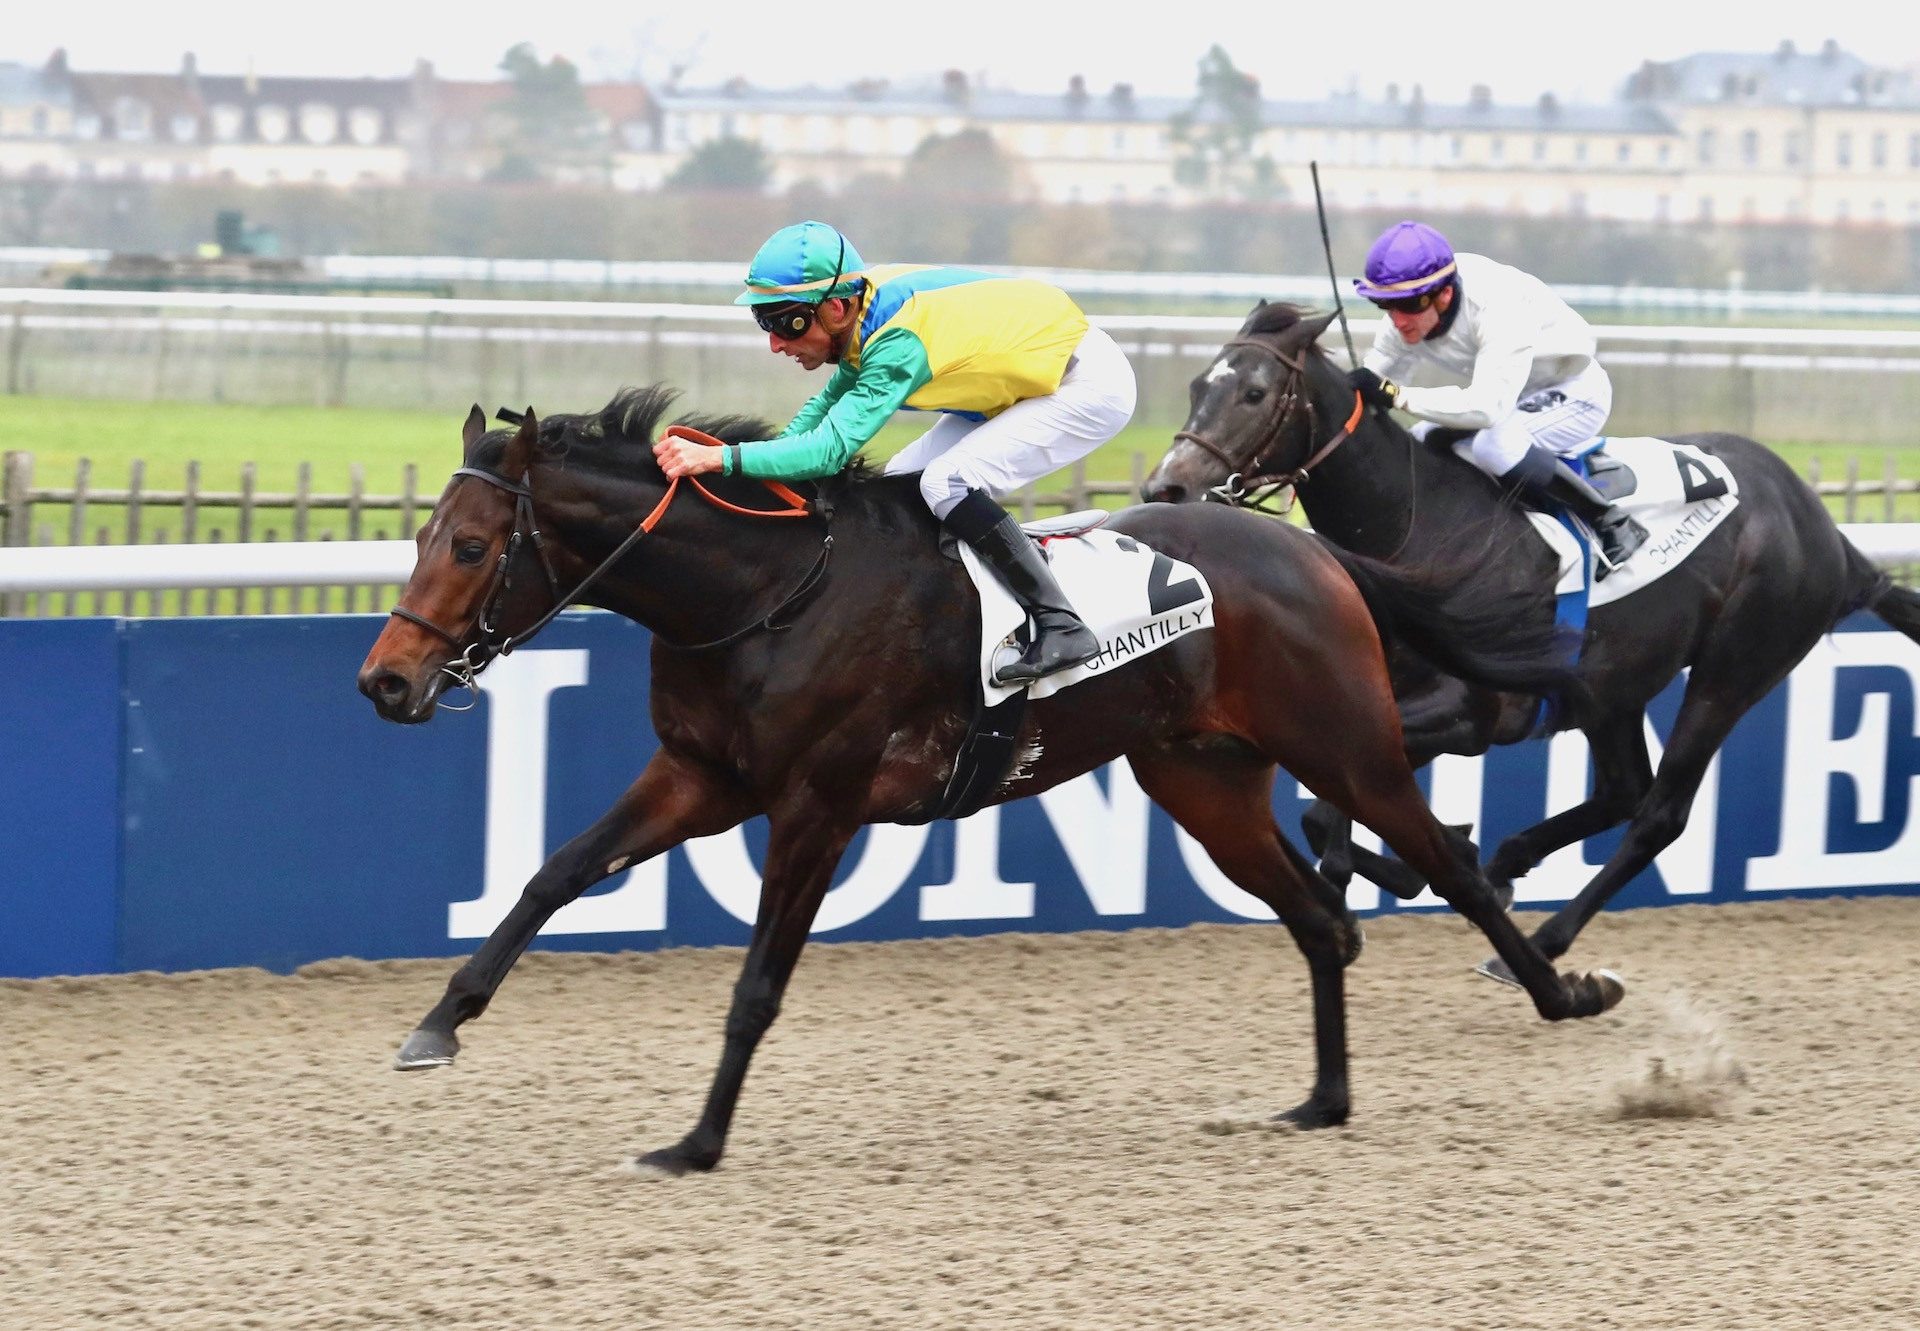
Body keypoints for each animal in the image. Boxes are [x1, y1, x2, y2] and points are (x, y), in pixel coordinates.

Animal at [357, 384, 1620, 1175]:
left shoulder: (817, 804)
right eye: (421, 536)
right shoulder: (702, 774)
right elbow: (554, 874)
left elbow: (758, 983)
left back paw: (1567, 992)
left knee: (1449, 861)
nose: (386, 681)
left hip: (1344, 741)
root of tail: (1310, 546)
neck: (765, 591)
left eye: (471, 545)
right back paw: (1324, 1097)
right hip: (1202, 780)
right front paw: (438, 1022)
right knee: (1321, 919)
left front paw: (695, 1141)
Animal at [1136, 305, 1920, 979]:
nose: (1165, 486)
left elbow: (1334, 808)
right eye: (1199, 384)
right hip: (1613, 685)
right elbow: (1319, 810)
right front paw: (1427, 864)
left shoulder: (1471, 714)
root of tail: (1831, 536)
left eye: (1255, 392)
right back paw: (1510, 864)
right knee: (1623, 790)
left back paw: (1539, 942)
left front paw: (1431, 860)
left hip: (1733, 668)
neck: (1417, 530)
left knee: (1659, 813)